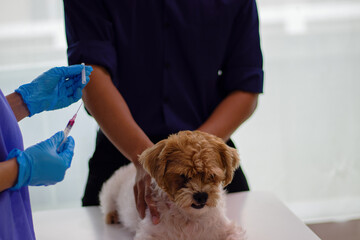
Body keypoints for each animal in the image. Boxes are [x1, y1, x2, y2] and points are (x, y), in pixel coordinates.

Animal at [98, 131, 245, 240]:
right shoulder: (150, 233)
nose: (201, 196)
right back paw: (112, 216)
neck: (189, 217)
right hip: (110, 189)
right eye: (183, 176)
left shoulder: (227, 229)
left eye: (212, 175)